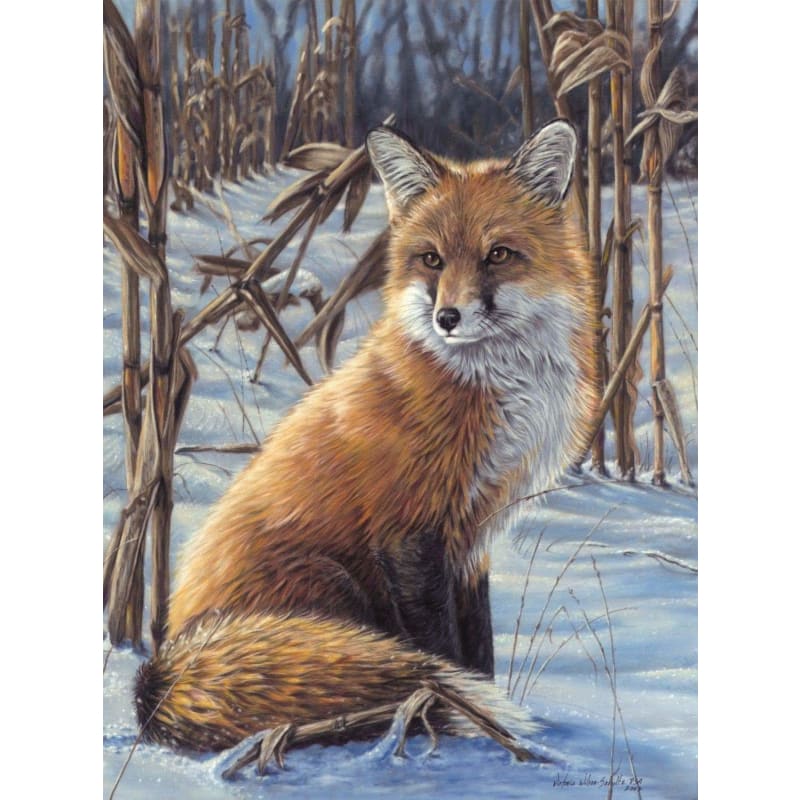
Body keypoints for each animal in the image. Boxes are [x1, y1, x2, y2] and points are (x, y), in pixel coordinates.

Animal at [134, 119, 599, 752]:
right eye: (431, 260)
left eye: (499, 255)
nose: (447, 318)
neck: (492, 386)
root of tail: (162, 668)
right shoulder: (409, 533)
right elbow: (442, 649)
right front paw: (469, 721)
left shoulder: (473, 537)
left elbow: (478, 649)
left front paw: (486, 714)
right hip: (333, 584)